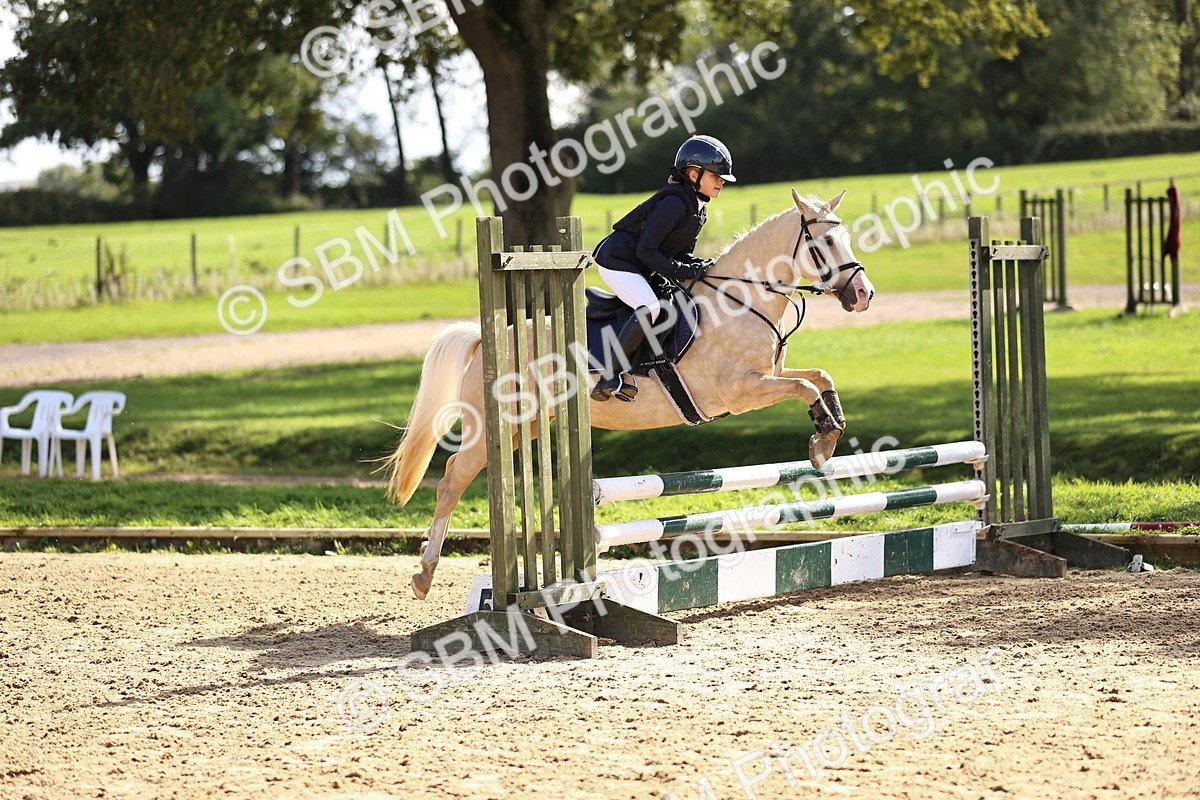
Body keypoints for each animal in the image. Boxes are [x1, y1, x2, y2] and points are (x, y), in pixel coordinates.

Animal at [383, 189, 875, 599]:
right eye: (825, 244)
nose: (863, 295)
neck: (739, 302)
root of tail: (488, 340)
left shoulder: (768, 376)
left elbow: (819, 377)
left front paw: (828, 434)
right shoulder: (739, 392)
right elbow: (804, 385)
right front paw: (822, 443)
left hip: (532, 426)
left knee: (461, 472)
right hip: (499, 426)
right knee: (453, 478)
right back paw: (424, 575)